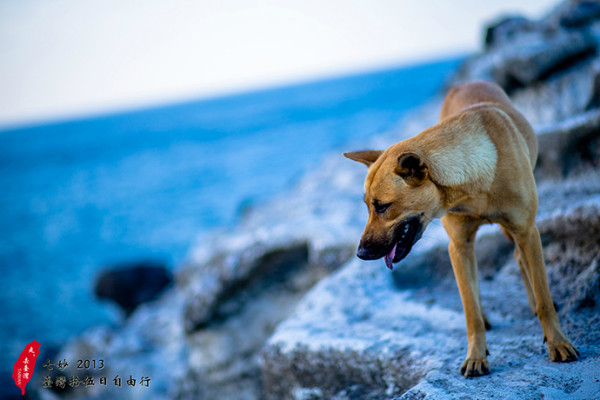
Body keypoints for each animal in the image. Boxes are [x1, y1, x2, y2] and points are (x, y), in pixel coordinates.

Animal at [344, 80, 580, 376]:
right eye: (367, 206)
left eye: (382, 206)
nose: (361, 254)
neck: (473, 182)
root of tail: (464, 83)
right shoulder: (458, 247)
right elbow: (470, 312)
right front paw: (476, 355)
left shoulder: (526, 230)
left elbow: (545, 298)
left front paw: (557, 341)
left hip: (519, 231)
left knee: (521, 259)